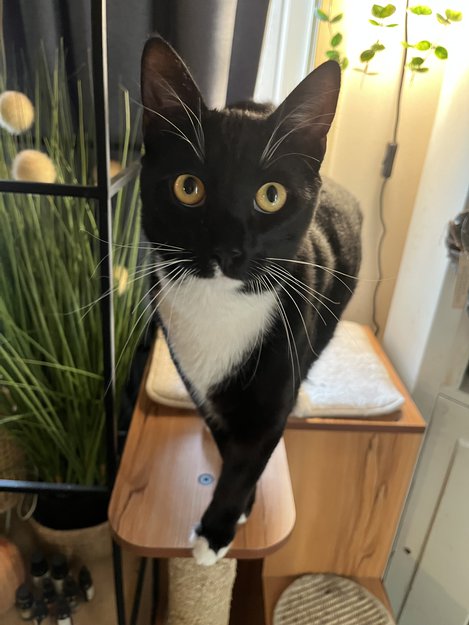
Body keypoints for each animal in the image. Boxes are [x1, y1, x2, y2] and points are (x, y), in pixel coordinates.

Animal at [140, 36, 362, 565]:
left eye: (271, 195)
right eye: (188, 187)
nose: (228, 249)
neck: (220, 309)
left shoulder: (273, 388)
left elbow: (251, 453)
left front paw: (215, 533)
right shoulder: (197, 380)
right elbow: (228, 443)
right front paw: (238, 509)